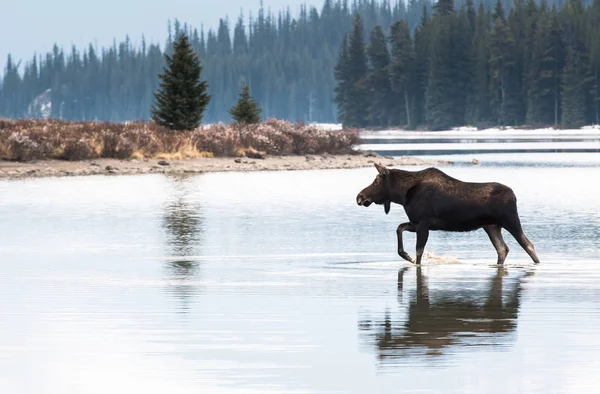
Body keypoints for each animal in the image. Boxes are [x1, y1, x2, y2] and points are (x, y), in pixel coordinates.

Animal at [354, 163, 540, 264]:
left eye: (376, 181)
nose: (359, 197)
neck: (402, 195)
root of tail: (514, 195)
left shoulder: (423, 223)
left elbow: (419, 251)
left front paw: (412, 259)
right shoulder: (416, 222)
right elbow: (399, 228)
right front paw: (406, 256)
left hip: (510, 220)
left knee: (528, 244)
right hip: (491, 226)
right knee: (502, 249)